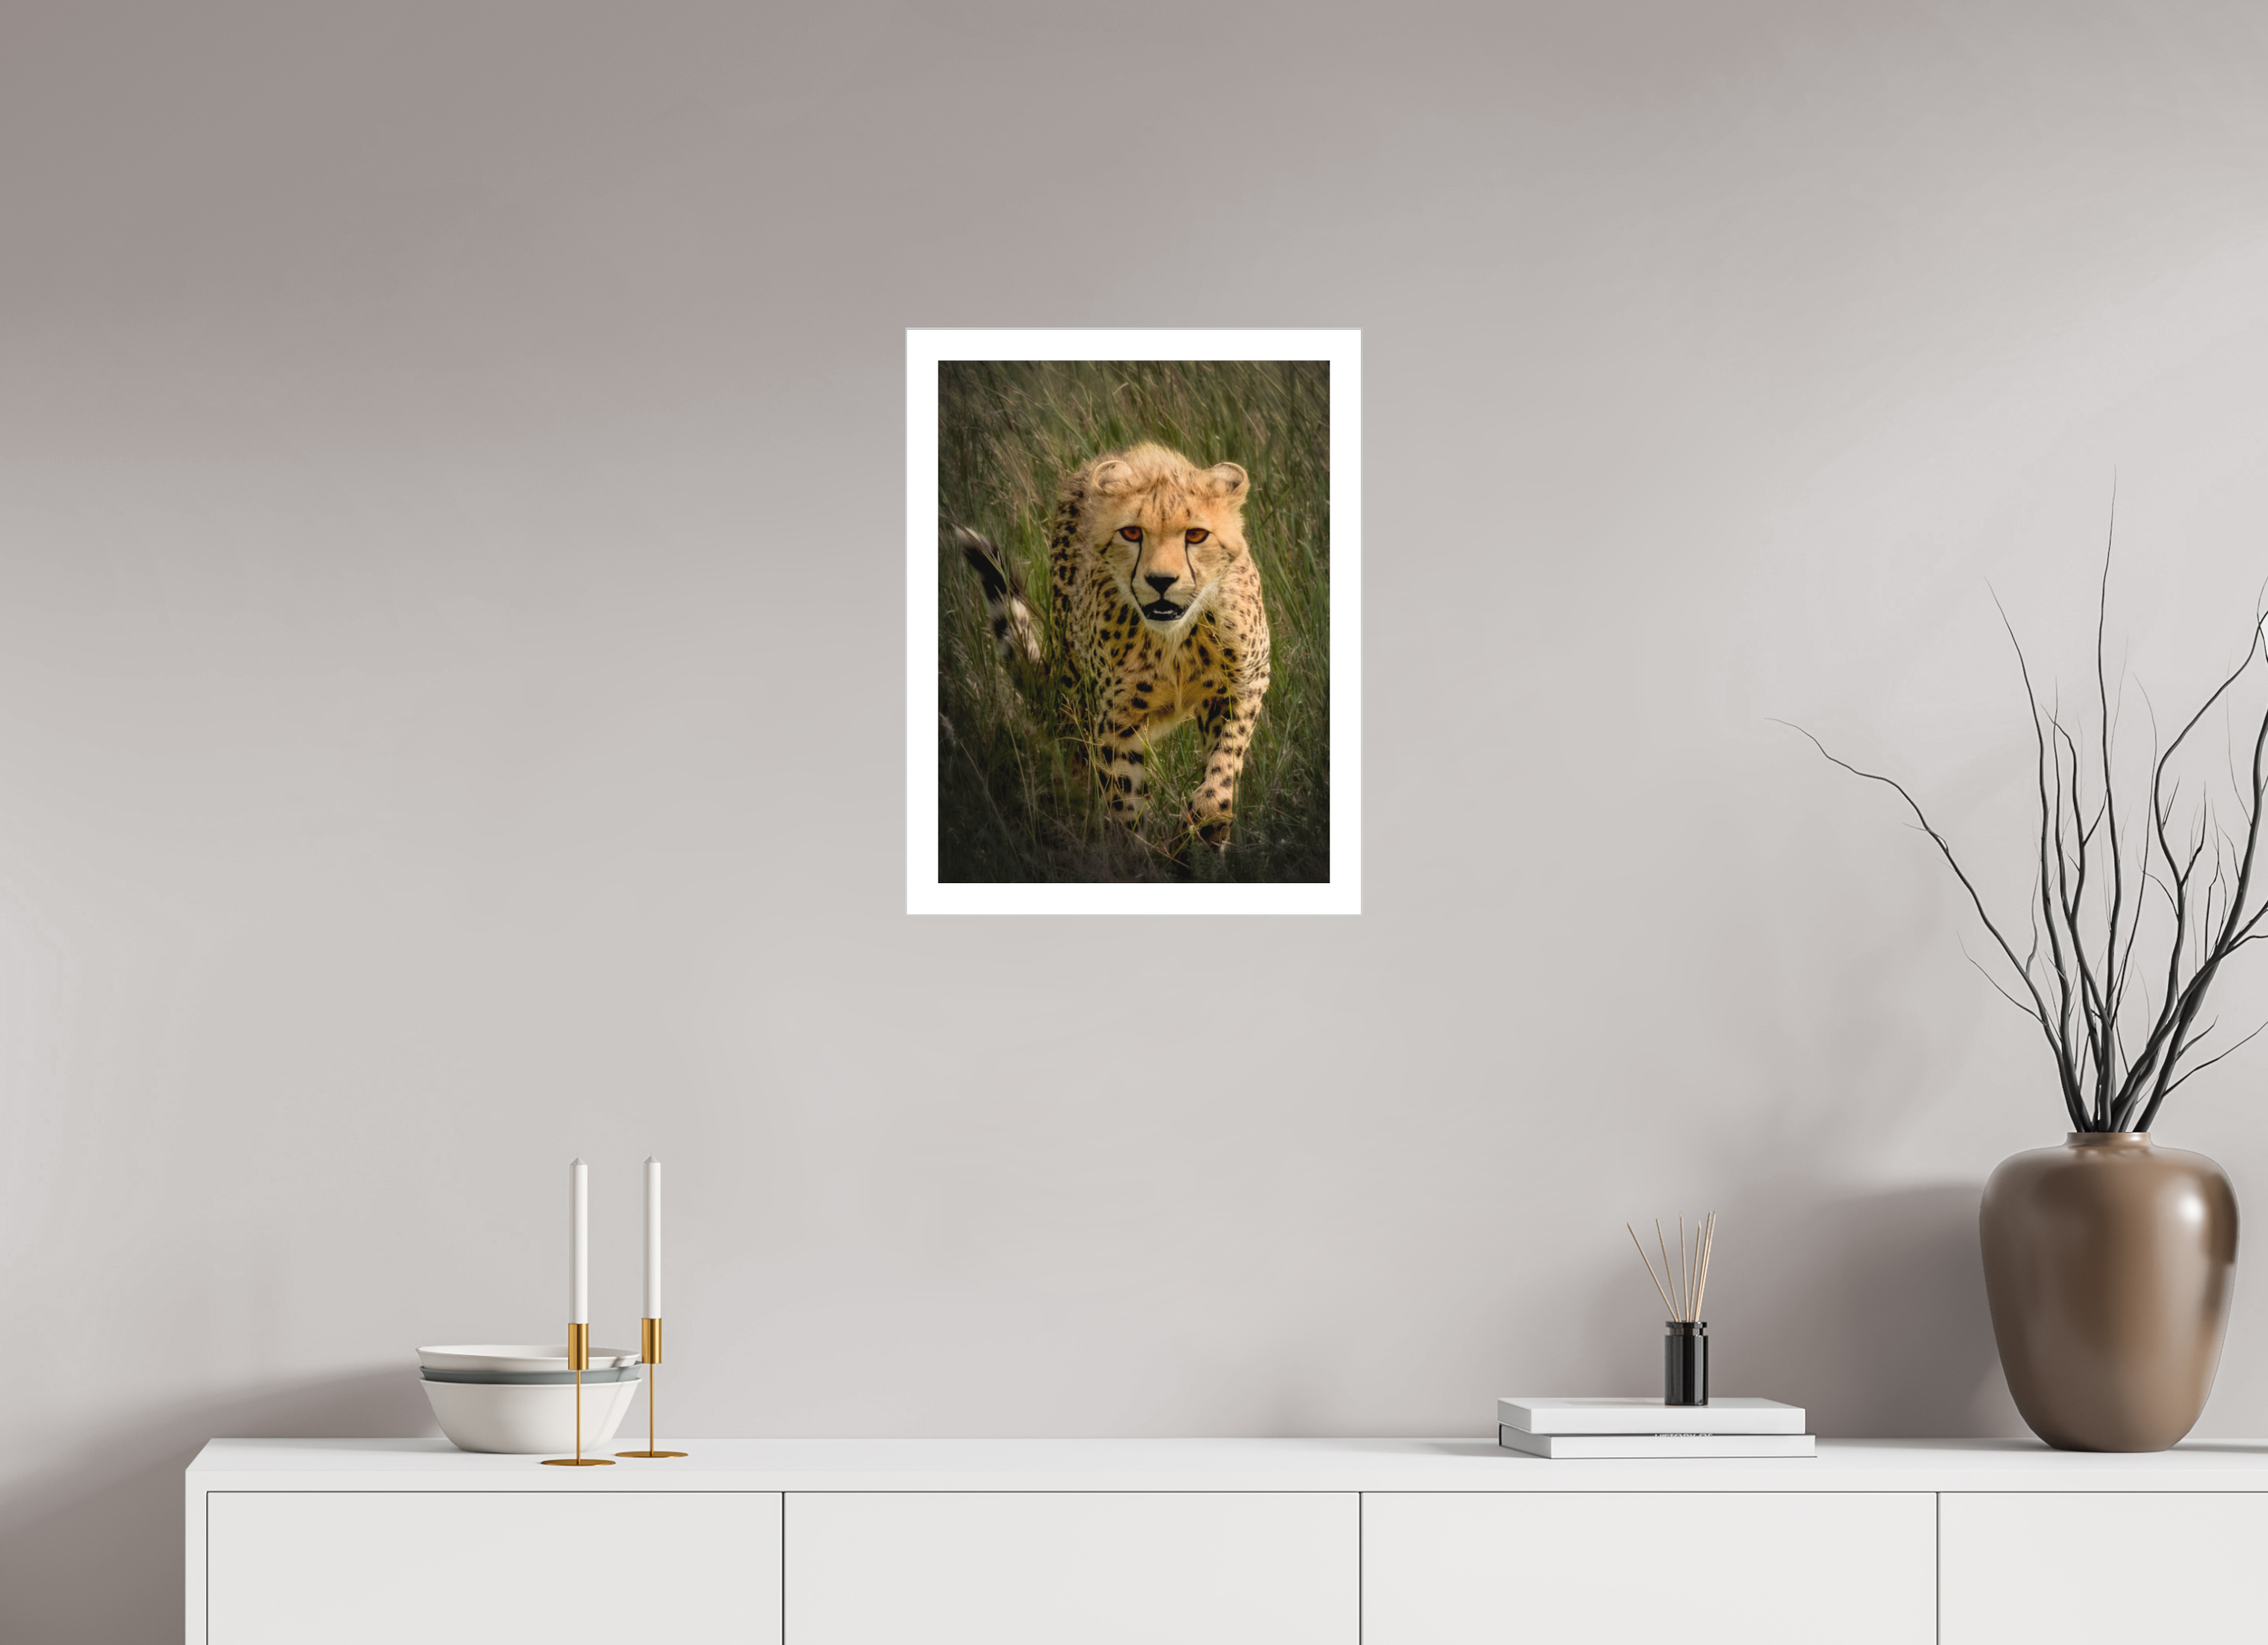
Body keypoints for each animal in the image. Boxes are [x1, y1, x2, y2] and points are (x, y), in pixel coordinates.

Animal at [958, 442, 1271, 849]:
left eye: (1196, 535)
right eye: (1132, 533)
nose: (1161, 580)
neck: (1175, 638)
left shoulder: (1245, 685)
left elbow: (1223, 766)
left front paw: (1204, 825)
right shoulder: (1117, 718)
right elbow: (1124, 796)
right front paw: (1134, 854)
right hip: (1076, 691)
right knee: (1078, 758)